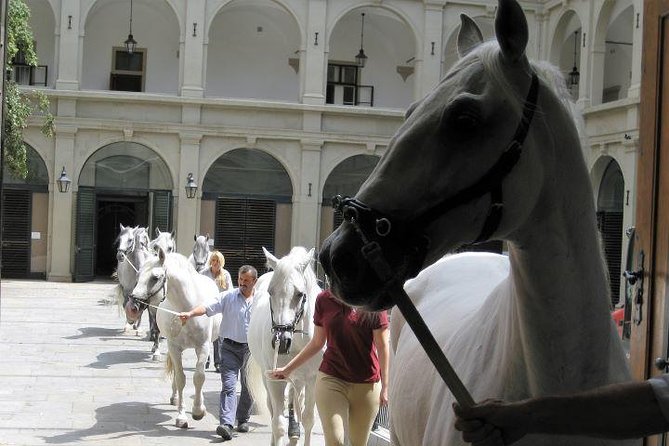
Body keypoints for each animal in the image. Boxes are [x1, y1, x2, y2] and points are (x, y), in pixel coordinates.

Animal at [130, 249, 222, 426]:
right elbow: (180, 378)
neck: (187, 308)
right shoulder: (174, 347)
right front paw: (181, 416)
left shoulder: (203, 346)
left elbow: (199, 377)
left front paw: (198, 410)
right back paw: (175, 398)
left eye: (155, 277)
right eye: (138, 276)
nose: (132, 307)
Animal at [247, 247, 322, 446]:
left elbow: (308, 418)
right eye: (270, 292)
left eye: (299, 294)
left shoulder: (312, 379)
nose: (281, 340)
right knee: (273, 409)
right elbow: (278, 423)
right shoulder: (276, 380)